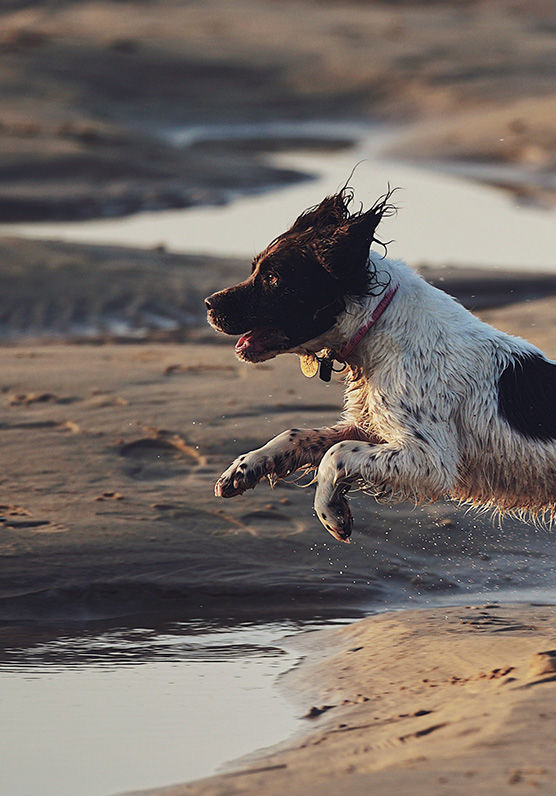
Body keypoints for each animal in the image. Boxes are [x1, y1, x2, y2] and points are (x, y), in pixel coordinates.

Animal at [204, 190, 556, 544]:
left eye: (273, 278)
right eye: (255, 269)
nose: (208, 304)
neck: (380, 324)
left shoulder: (432, 458)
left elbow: (336, 455)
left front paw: (332, 513)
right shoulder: (368, 425)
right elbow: (295, 435)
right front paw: (242, 469)